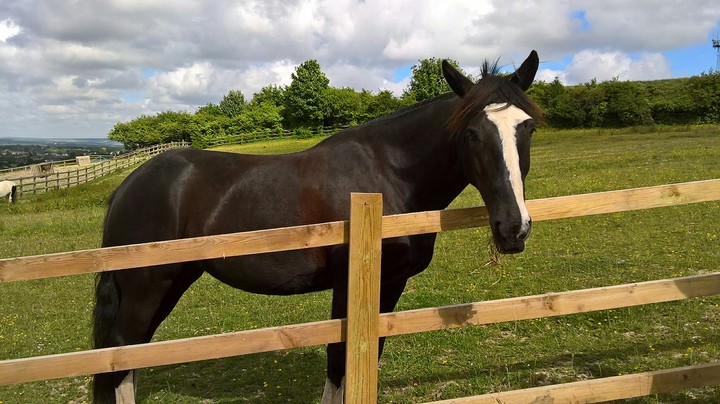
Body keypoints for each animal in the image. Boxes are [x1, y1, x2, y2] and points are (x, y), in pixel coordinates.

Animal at [93, 50, 542, 403]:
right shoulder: (349, 285)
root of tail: (129, 184)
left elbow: (367, 352)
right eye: (472, 132)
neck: (386, 176)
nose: (513, 228)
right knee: (119, 353)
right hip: (146, 288)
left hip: (170, 284)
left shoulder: (390, 283)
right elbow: (339, 359)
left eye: (528, 127)